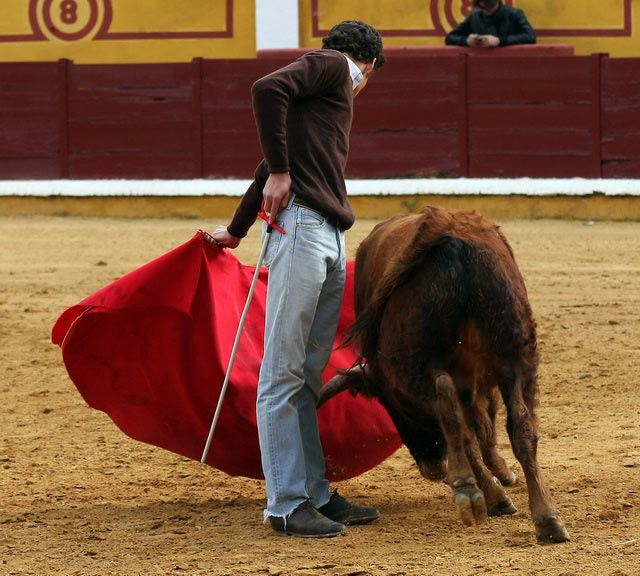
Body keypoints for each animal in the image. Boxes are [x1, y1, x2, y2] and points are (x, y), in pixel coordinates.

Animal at [320, 207, 568, 544]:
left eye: (393, 409)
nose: (433, 467)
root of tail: (445, 229)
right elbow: (483, 427)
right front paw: (500, 480)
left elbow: (474, 427)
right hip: (517, 354)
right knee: (519, 425)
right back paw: (545, 518)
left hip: (415, 363)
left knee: (449, 403)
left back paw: (470, 488)